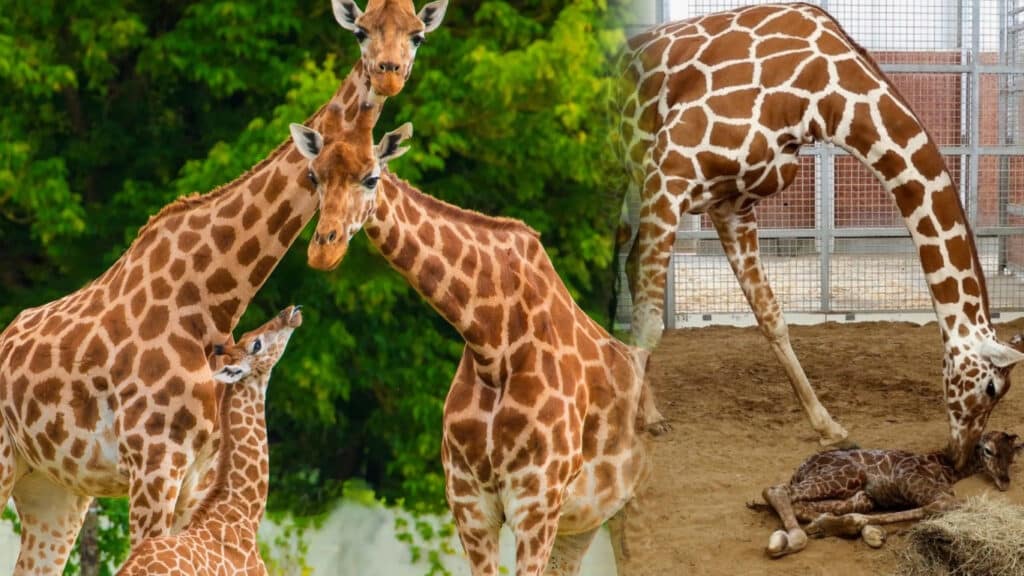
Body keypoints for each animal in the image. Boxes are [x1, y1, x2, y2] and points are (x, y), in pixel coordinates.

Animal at [296, 124, 653, 575]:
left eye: (371, 178)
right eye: (313, 177)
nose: (323, 248)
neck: (492, 343)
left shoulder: (535, 503)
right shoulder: (470, 505)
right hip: (584, 524)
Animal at [617, 2, 1024, 458]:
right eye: (990, 388)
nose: (962, 457)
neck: (821, 92)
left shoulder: (733, 204)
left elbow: (771, 316)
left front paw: (829, 426)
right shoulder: (671, 172)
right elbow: (650, 319)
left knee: (629, 265)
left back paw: (650, 412)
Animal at [756, 430, 1023, 557]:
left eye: (1012, 456)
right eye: (988, 451)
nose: (1005, 482)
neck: (948, 468)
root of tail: (800, 469)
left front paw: (849, 527)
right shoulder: (911, 480)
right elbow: (942, 505)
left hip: (859, 496)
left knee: (799, 503)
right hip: (849, 474)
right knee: (776, 489)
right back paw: (793, 539)